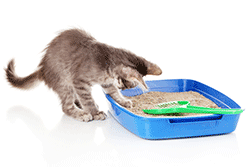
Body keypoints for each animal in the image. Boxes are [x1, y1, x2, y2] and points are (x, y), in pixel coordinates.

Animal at [5, 28, 163, 122]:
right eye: (128, 82)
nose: (126, 88)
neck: (106, 62)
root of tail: (42, 68)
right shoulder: (79, 81)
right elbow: (88, 100)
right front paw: (95, 113)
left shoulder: (106, 82)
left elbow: (113, 93)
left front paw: (123, 101)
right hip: (65, 83)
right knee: (66, 107)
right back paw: (81, 113)